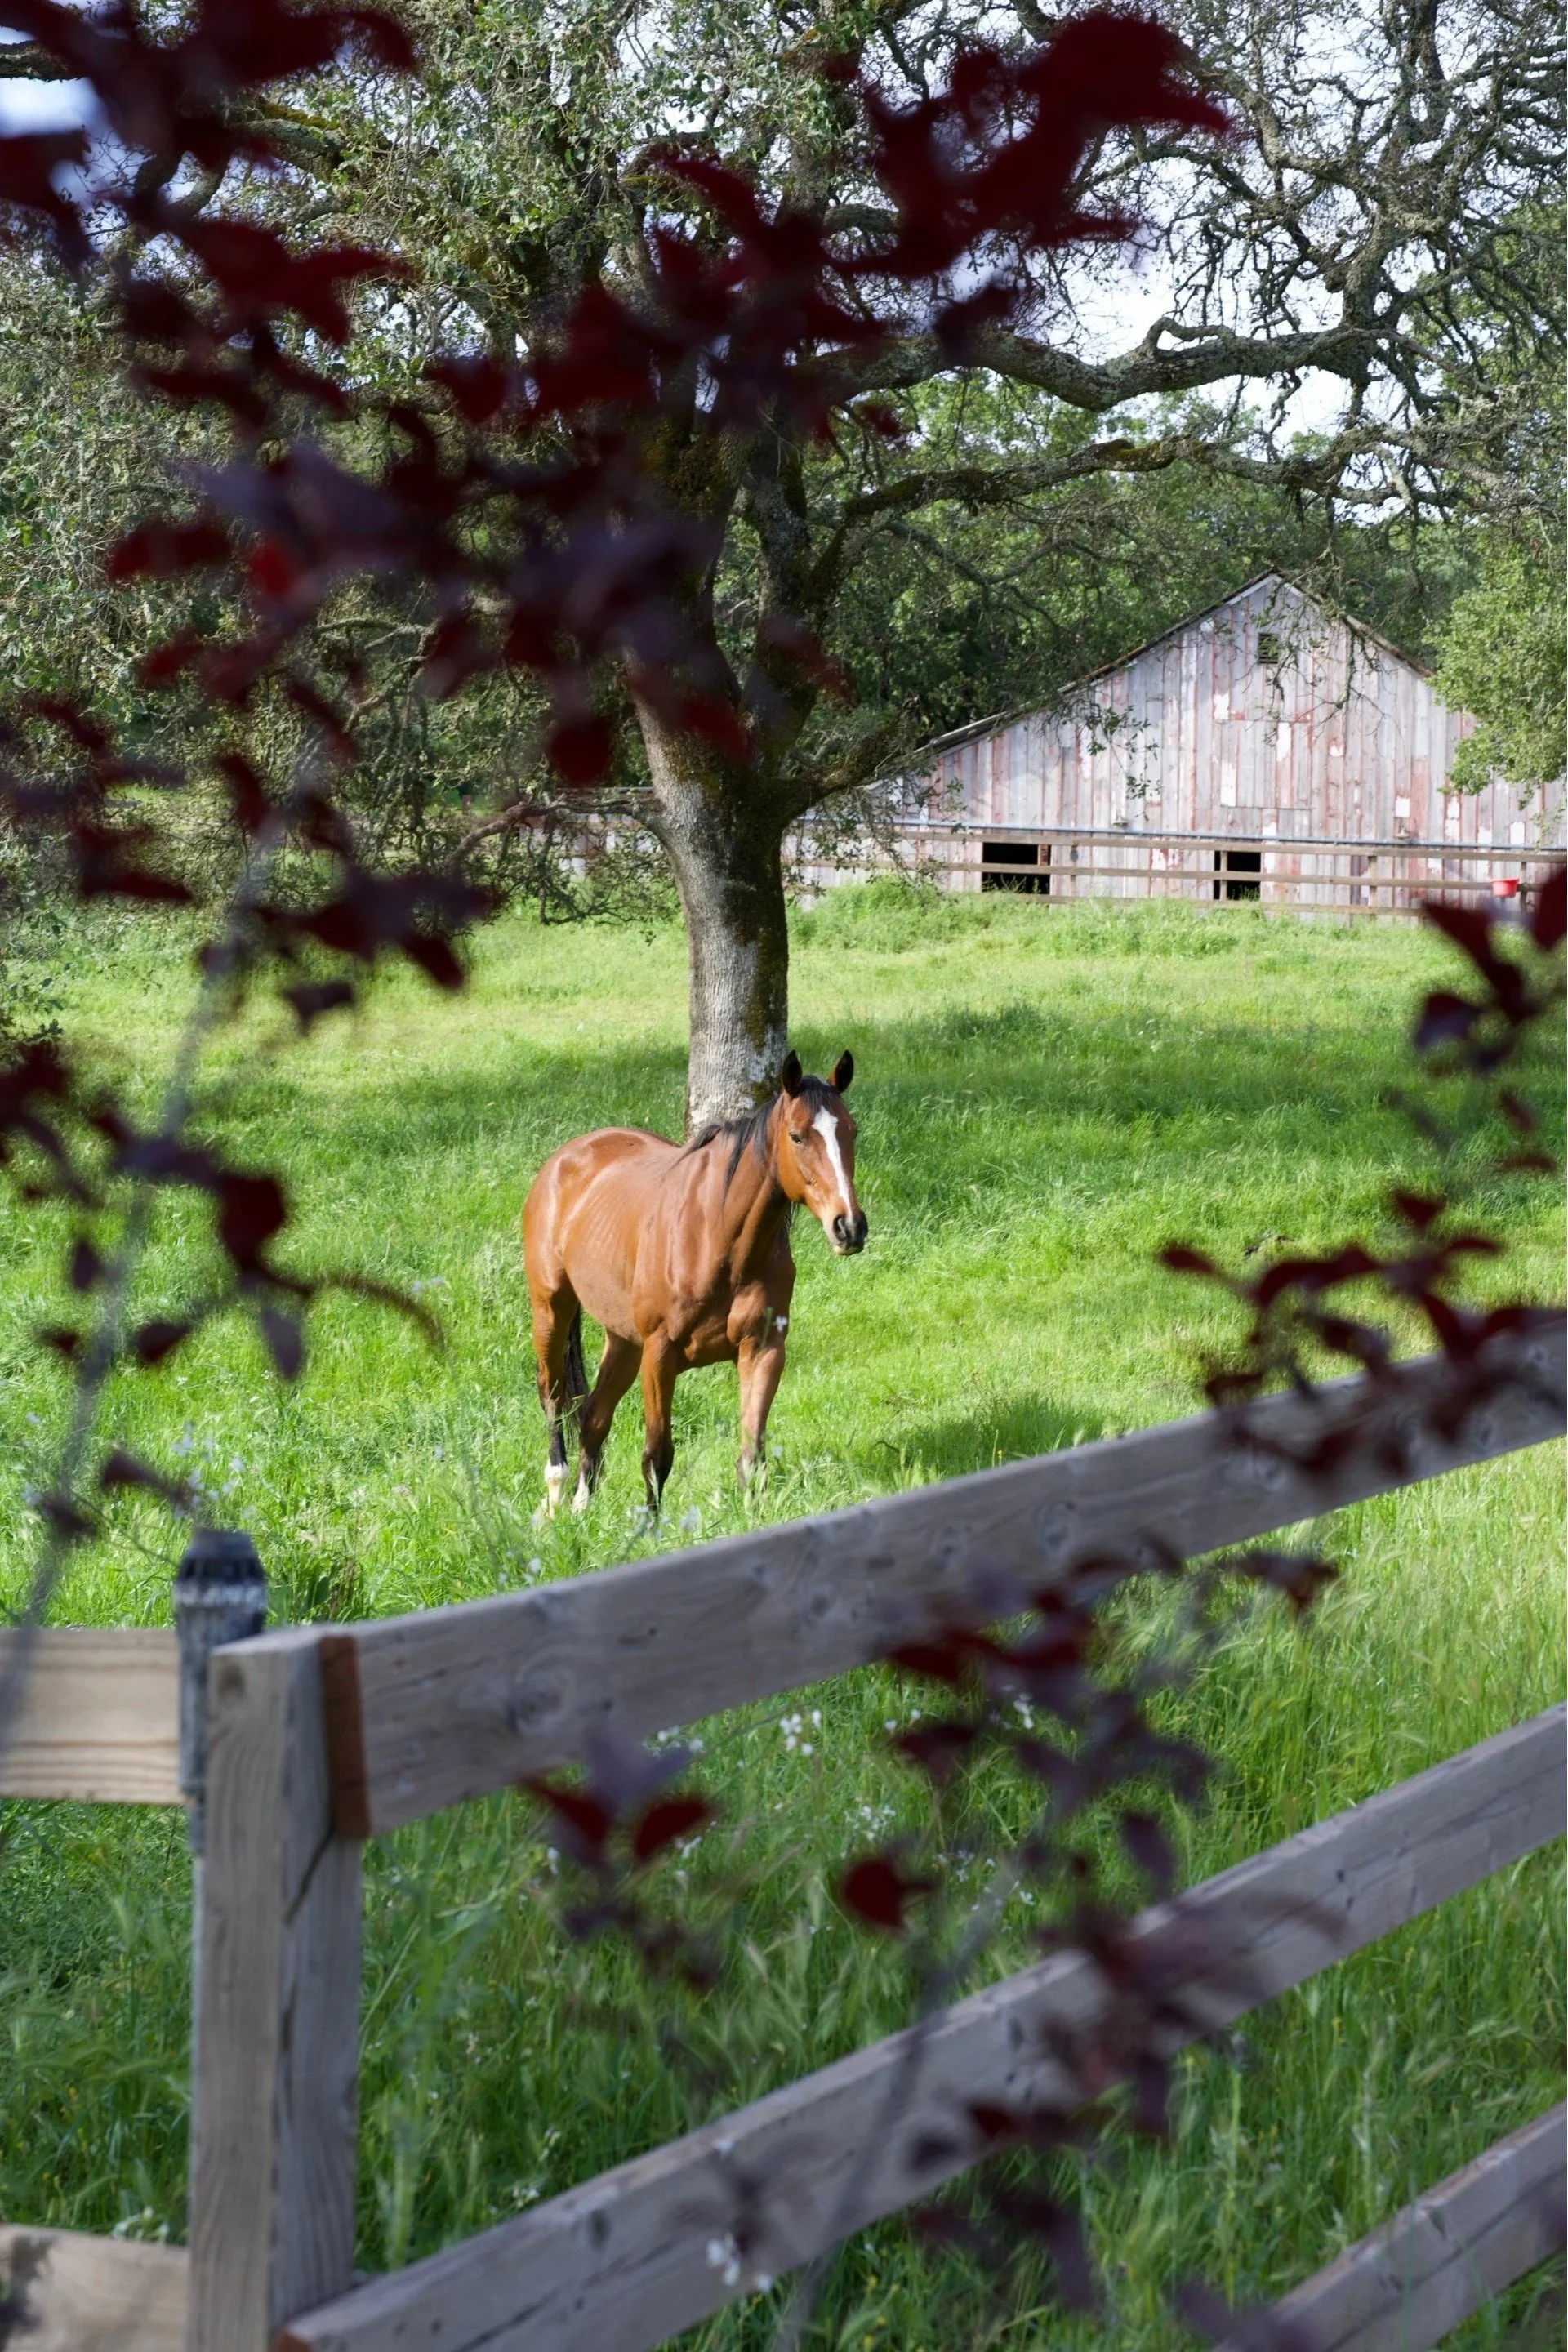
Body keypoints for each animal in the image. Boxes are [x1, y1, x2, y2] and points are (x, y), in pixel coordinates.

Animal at [522, 1049, 866, 1513]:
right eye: (797, 1137)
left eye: (851, 1130)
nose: (849, 1227)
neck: (717, 1240)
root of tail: (565, 1160)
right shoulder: (659, 1355)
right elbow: (657, 1455)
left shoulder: (762, 1350)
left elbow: (751, 1454)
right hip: (552, 1310)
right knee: (554, 1396)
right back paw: (556, 1492)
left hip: (623, 1339)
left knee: (593, 1417)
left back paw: (581, 1506)